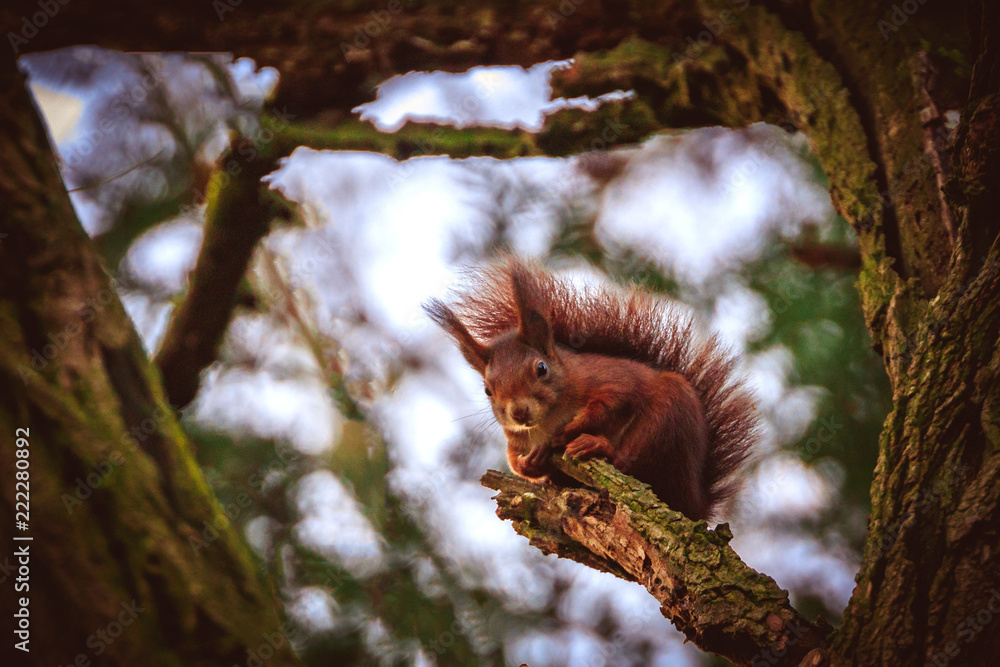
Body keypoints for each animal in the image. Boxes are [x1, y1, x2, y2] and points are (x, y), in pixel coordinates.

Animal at [424, 258, 756, 520]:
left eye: (541, 369)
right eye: (487, 391)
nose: (518, 412)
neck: (548, 418)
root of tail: (693, 502)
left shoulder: (614, 379)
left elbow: (613, 401)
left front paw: (573, 429)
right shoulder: (516, 437)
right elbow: (515, 460)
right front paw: (529, 463)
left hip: (666, 421)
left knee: (629, 460)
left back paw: (596, 445)